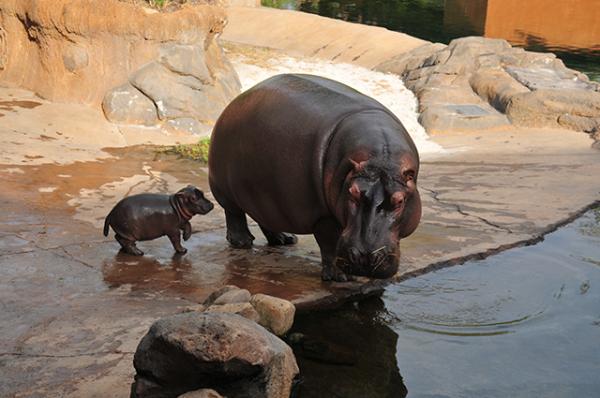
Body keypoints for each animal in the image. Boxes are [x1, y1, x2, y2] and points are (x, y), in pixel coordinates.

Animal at [210, 73, 422, 282]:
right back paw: (243, 242)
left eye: (400, 201)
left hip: (264, 192)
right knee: (234, 213)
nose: (364, 257)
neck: (380, 160)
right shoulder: (321, 213)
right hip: (224, 187)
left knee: (265, 216)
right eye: (352, 193)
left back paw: (285, 239)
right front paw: (340, 277)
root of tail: (234, 102)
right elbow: (329, 241)